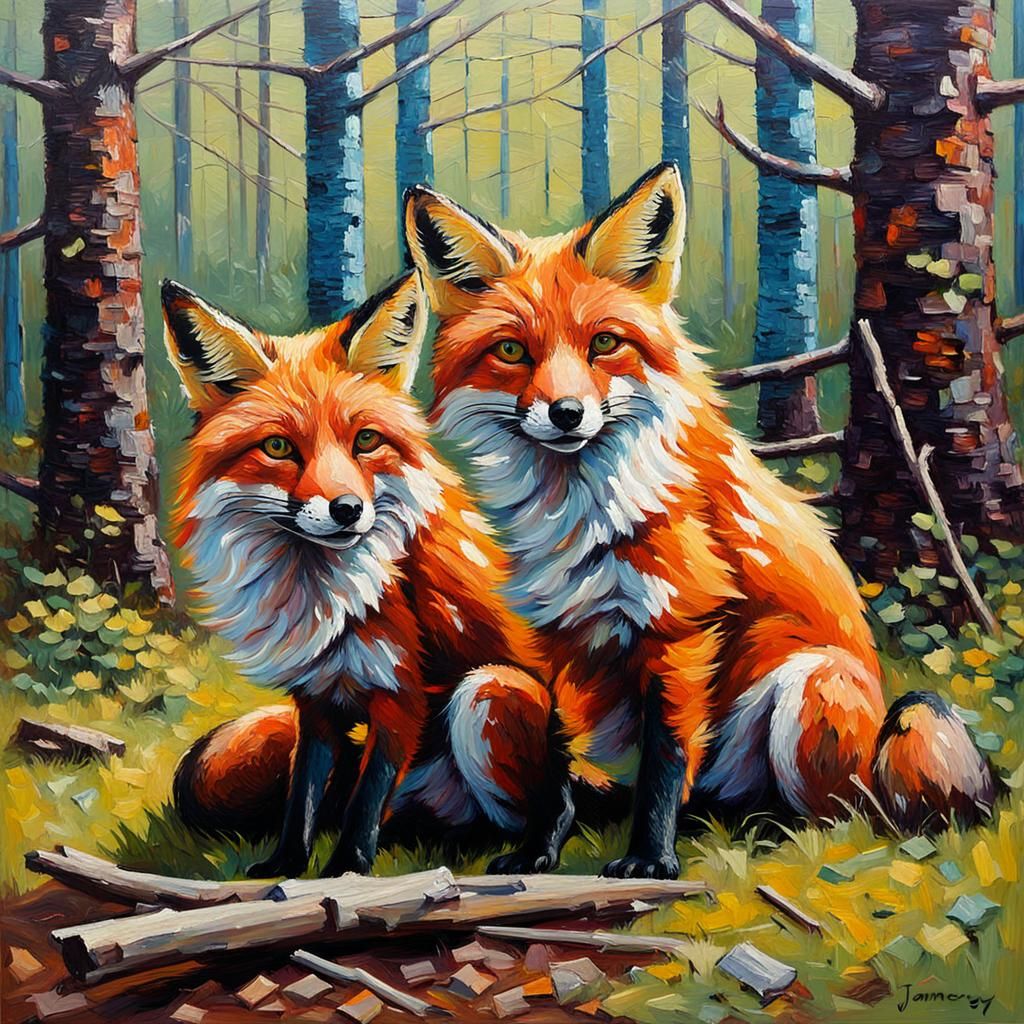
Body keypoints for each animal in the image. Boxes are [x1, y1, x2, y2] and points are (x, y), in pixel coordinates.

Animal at [163, 271, 574, 877]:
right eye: (278, 447)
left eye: (365, 440)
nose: (347, 510)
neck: (326, 600)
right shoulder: (313, 702)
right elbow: (304, 795)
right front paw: (286, 864)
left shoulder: (402, 696)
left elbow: (366, 799)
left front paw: (348, 870)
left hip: (489, 690)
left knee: (545, 807)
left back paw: (528, 853)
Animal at [400, 162, 997, 878]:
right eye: (513, 351)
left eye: (605, 343)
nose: (567, 413)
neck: (587, 515)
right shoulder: (562, 639)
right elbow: (560, 765)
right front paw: (540, 851)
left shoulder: (681, 626)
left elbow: (666, 761)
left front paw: (650, 860)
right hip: (483, 694)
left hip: (810, 682)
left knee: (841, 820)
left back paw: (758, 832)